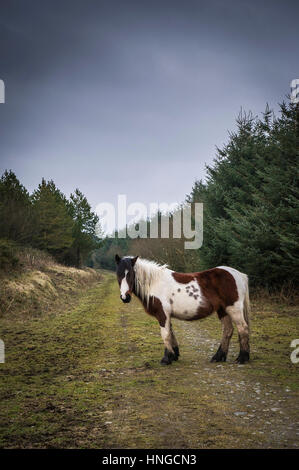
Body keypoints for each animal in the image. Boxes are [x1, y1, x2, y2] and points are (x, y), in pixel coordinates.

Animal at [115, 255, 251, 366]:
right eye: (118, 274)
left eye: (130, 274)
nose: (125, 297)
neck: (154, 283)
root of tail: (238, 274)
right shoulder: (167, 315)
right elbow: (171, 333)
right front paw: (174, 355)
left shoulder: (163, 314)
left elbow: (165, 334)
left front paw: (166, 359)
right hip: (222, 310)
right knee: (227, 330)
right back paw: (218, 357)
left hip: (234, 309)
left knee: (242, 329)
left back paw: (242, 358)